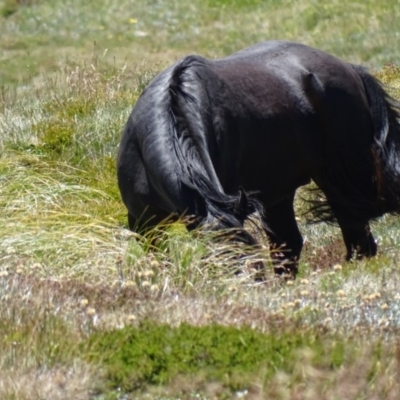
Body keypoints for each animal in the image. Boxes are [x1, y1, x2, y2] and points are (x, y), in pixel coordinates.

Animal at [117, 42, 400, 276]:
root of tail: (350, 70)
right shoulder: (143, 223)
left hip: (339, 181)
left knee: (357, 240)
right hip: (279, 196)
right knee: (289, 245)